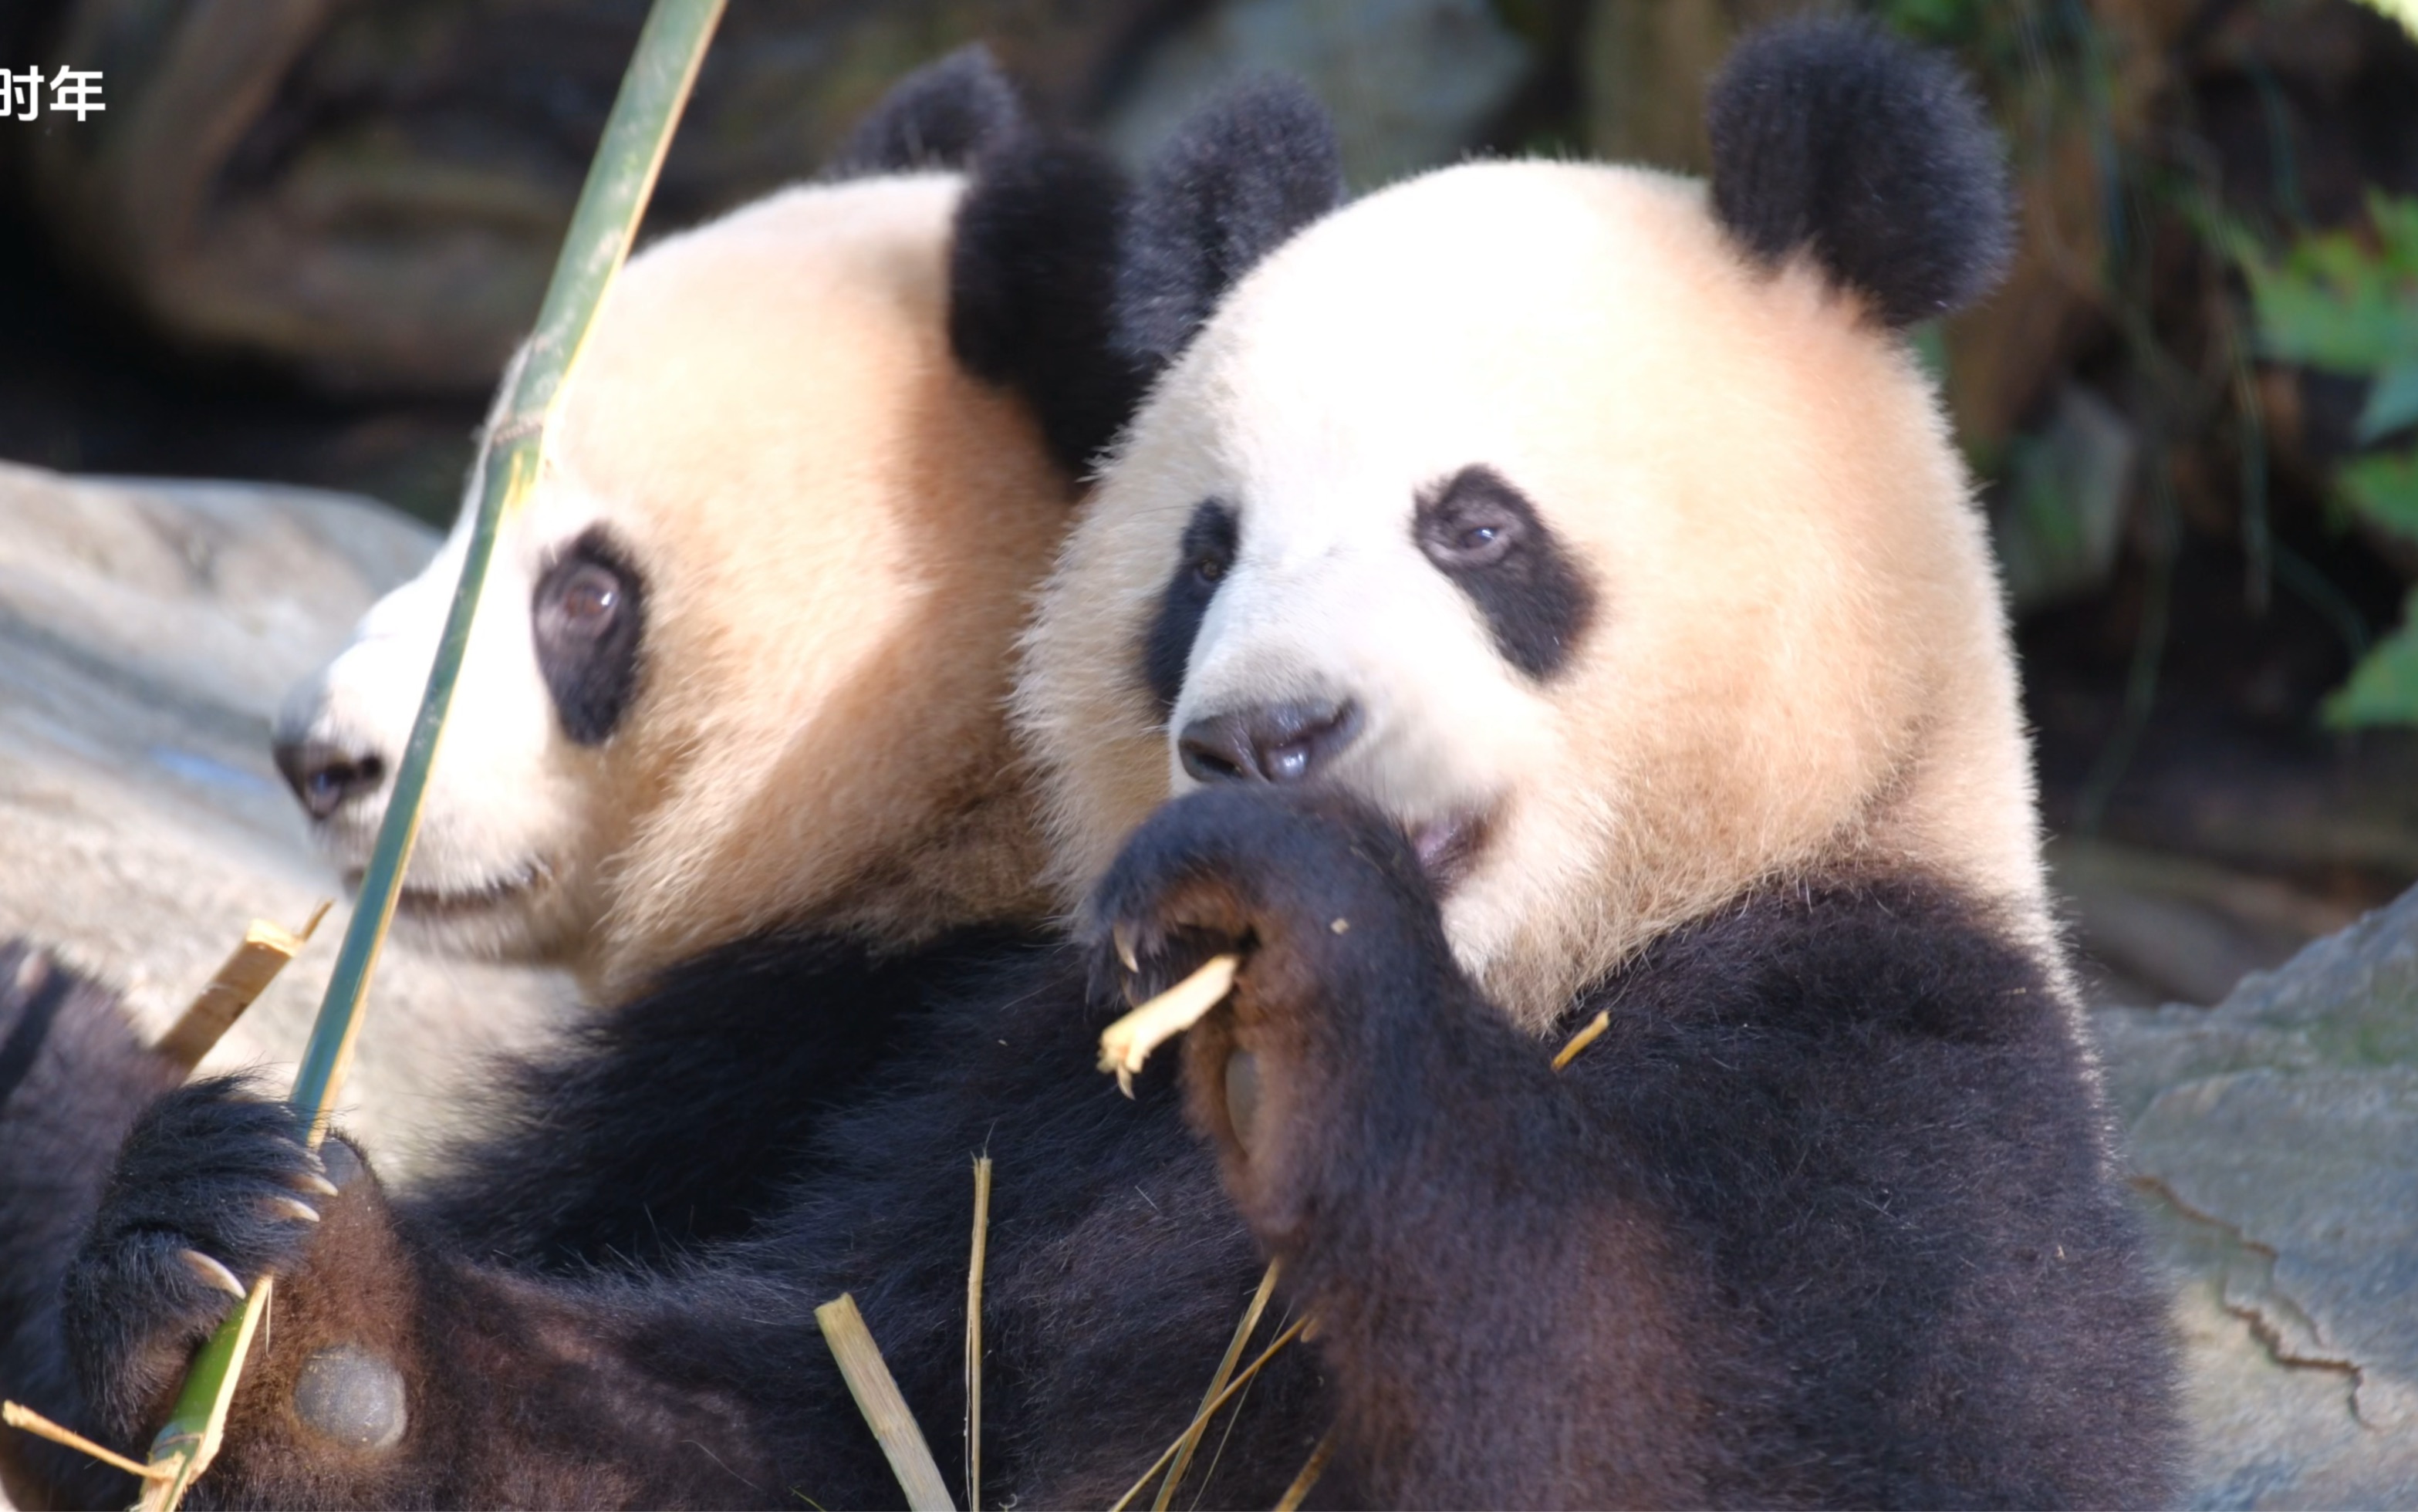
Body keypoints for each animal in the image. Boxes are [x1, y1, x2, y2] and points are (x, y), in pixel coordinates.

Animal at [56, 26, 2186, 1509]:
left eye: (1473, 529)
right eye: (1204, 553)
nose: (1263, 734)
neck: (1554, 968)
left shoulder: (1885, 1074)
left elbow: (1711, 1428)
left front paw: (1318, 952)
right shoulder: (1010, 1116)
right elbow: (818, 1414)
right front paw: (277, 1296)